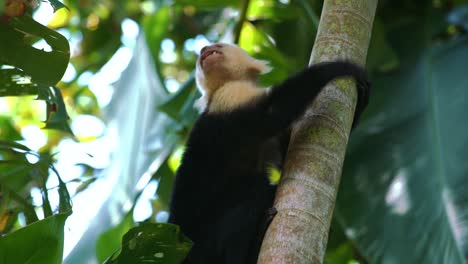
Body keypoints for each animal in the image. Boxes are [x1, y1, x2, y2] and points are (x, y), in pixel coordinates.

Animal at [168, 42, 370, 262]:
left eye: (217, 46)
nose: (204, 48)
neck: (218, 90)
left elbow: (285, 154)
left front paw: (362, 97)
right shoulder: (231, 94)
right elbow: (271, 113)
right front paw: (336, 69)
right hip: (203, 248)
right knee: (254, 192)